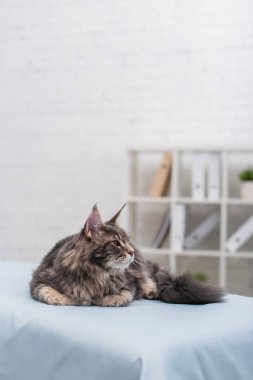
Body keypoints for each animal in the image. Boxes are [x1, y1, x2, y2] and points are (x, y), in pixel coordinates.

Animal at [30, 205, 223, 306]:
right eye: (116, 243)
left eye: (127, 241)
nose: (131, 252)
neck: (96, 272)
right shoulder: (39, 278)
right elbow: (47, 292)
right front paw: (69, 298)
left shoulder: (129, 283)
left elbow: (121, 296)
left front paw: (100, 299)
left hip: (141, 268)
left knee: (150, 278)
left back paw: (150, 290)